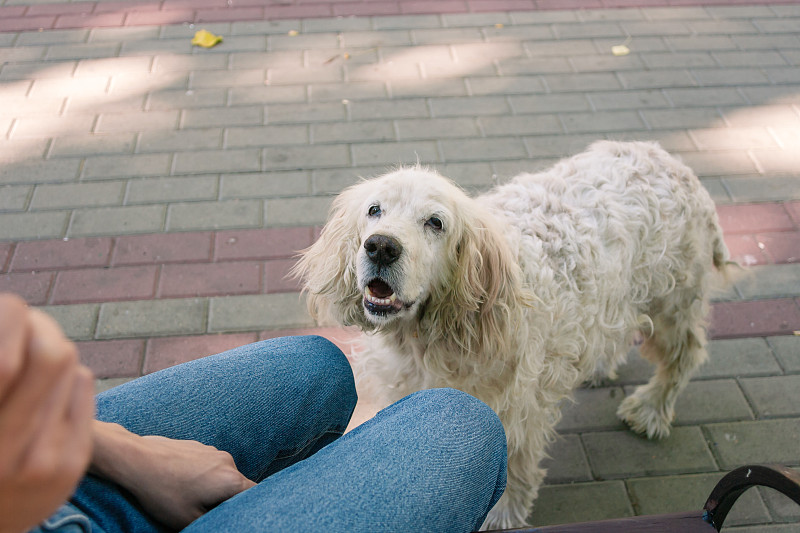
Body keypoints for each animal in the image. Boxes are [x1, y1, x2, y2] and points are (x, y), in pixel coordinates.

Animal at [294, 140, 732, 528]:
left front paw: (503, 515)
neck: (429, 338)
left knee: (686, 354)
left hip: (674, 302)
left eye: (435, 222)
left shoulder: (515, 407)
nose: (381, 247)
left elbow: (515, 465)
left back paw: (652, 409)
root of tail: (676, 165)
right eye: (374, 209)